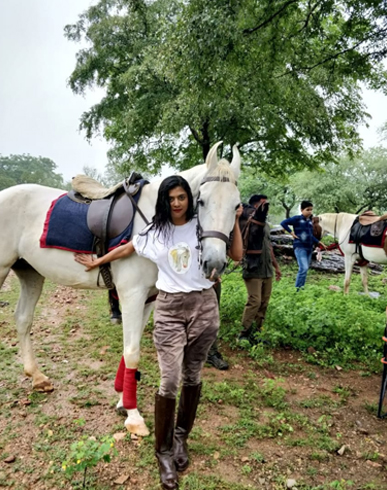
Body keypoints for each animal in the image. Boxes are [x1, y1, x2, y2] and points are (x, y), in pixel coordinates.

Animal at [0, 142, 241, 436]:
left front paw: (122, 400)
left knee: (23, 319)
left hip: (30, 273)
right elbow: (132, 352)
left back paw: (36, 376)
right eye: (202, 201)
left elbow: (130, 349)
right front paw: (133, 416)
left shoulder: (148, 299)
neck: (156, 221)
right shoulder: (131, 295)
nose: (214, 262)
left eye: (237, 206)